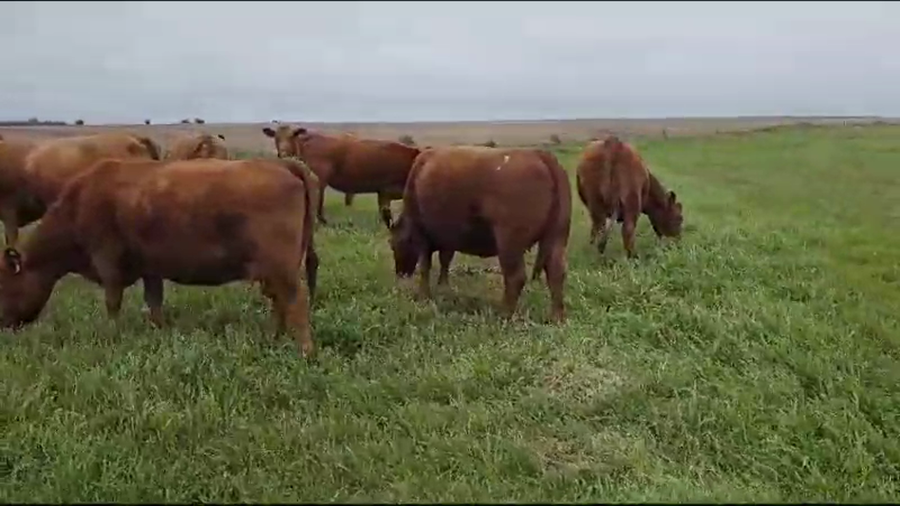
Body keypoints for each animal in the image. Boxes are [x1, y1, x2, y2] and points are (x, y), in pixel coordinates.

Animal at [0, 157, 320, 358]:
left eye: (4, 287)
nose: (3, 325)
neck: (79, 203)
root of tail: (282, 163)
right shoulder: (150, 267)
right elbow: (154, 302)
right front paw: (158, 332)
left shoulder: (108, 262)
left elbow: (113, 303)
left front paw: (112, 335)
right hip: (275, 268)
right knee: (280, 301)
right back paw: (274, 338)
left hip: (281, 267)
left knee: (296, 300)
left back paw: (305, 351)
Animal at [388, 146, 572, 323]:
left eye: (393, 245)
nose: (400, 274)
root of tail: (540, 155)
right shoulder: (449, 238)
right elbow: (445, 261)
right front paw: (444, 288)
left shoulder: (422, 234)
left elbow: (425, 266)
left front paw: (423, 296)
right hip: (556, 237)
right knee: (556, 272)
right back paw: (556, 316)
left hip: (509, 242)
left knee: (515, 277)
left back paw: (505, 313)